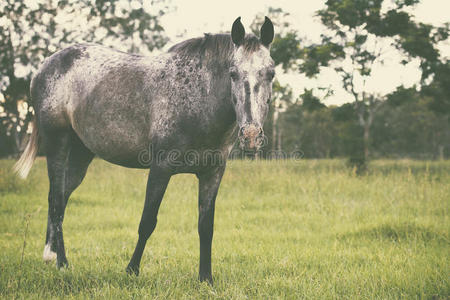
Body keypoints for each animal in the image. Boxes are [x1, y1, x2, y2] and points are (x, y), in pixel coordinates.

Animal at [14, 16, 274, 284]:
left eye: (271, 73)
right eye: (233, 73)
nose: (251, 135)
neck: (198, 98)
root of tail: (45, 66)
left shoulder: (212, 173)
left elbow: (206, 227)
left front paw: (205, 278)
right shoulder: (160, 168)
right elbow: (148, 221)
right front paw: (131, 270)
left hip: (80, 154)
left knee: (63, 198)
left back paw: (57, 259)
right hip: (58, 144)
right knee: (55, 200)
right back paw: (59, 260)